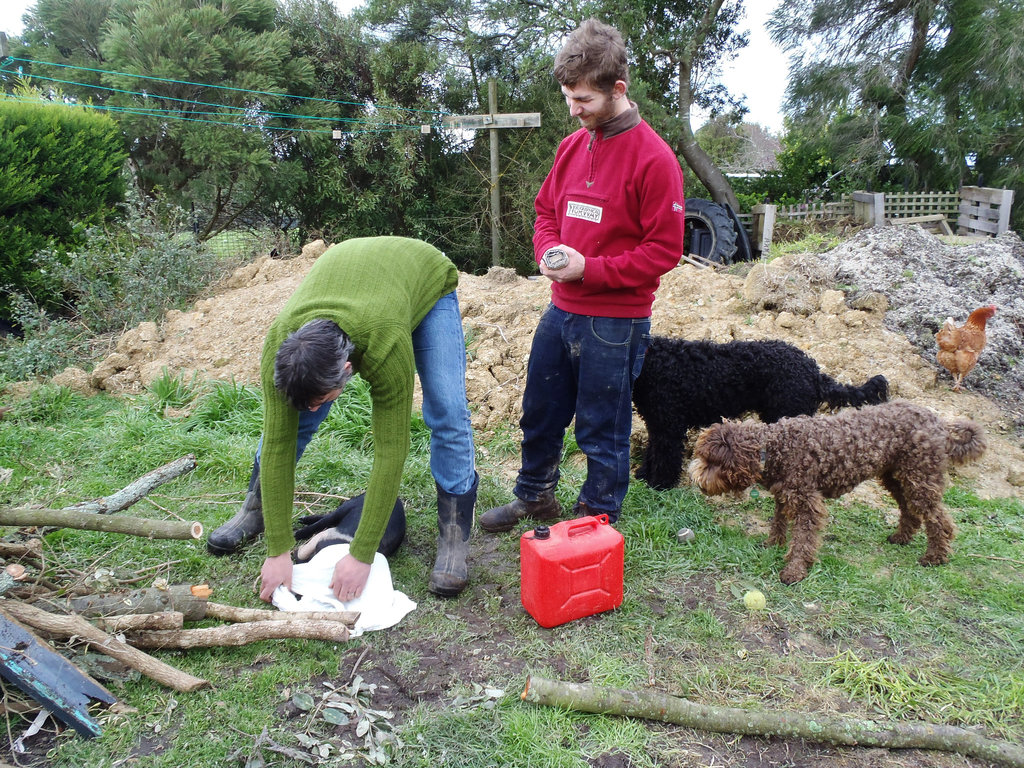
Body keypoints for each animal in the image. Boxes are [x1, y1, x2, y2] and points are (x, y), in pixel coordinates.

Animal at [630, 337, 888, 493]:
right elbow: (653, 450)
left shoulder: (668, 427)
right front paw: (643, 474)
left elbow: (665, 457)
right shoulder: (658, 424)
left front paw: (659, 484)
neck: (651, 361)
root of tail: (814, 373)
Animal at [688, 403, 983, 581]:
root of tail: (940, 423)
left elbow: (803, 539)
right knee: (909, 509)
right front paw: (773, 543)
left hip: (919, 478)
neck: (774, 448)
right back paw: (901, 537)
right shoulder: (785, 495)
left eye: (710, 462)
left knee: (939, 519)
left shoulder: (808, 502)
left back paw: (935, 556)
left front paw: (795, 570)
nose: (696, 479)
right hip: (896, 477)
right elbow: (779, 522)